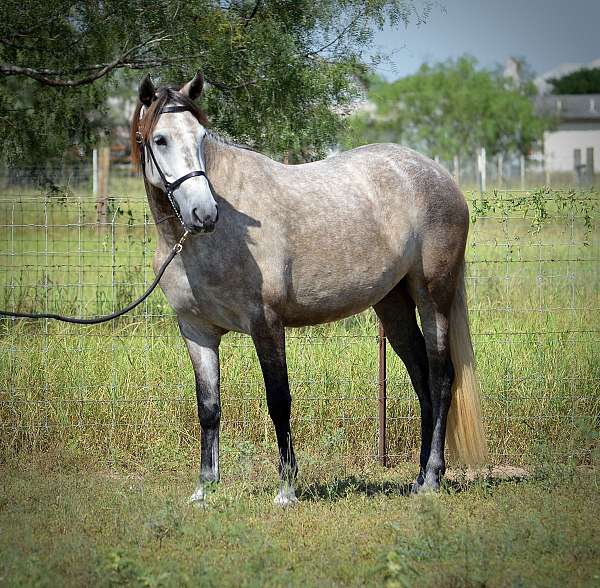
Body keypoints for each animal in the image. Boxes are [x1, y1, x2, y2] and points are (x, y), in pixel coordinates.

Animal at [132, 72, 488, 506]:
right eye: (160, 139)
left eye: (201, 137)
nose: (203, 213)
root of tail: (440, 176)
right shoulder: (197, 331)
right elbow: (209, 407)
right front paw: (204, 488)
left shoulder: (265, 324)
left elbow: (278, 401)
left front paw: (287, 489)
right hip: (393, 303)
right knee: (421, 377)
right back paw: (419, 477)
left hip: (433, 295)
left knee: (441, 377)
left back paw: (434, 476)